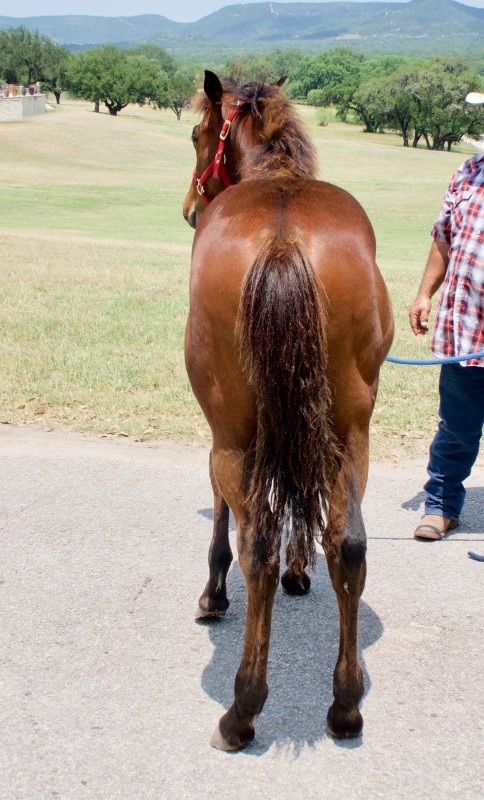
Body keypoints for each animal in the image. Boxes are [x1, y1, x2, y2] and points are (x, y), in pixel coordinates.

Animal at [182, 69, 394, 752]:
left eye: (195, 135)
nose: (191, 209)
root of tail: (282, 237)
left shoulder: (224, 435)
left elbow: (226, 515)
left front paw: (213, 596)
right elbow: (304, 502)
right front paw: (303, 572)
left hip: (235, 432)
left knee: (257, 546)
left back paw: (242, 711)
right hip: (350, 429)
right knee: (347, 542)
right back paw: (346, 706)